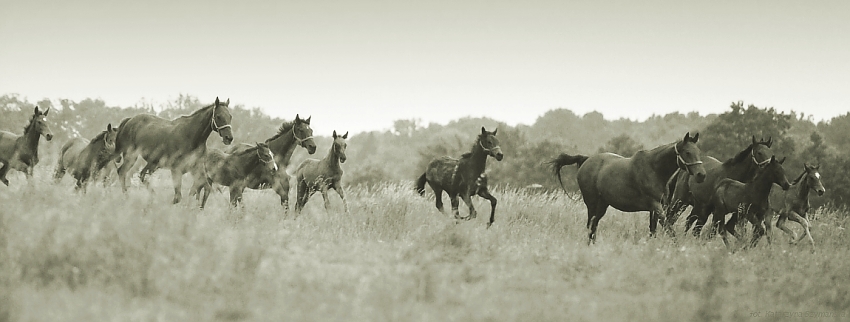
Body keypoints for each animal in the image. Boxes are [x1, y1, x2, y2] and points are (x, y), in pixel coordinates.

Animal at [548, 133, 704, 244]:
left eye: (698, 151)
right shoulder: (656, 206)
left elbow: (653, 231)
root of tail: (586, 160)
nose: (701, 175)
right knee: (590, 226)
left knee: (594, 226)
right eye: (687, 152)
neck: (654, 170)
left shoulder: (656, 208)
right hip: (591, 204)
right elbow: (669, 230)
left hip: (602, 205)